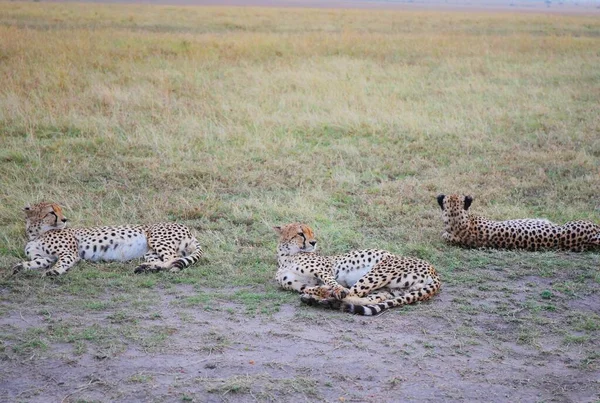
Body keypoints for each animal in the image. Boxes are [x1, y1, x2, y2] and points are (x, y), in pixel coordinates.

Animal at [11, 202, 204, 278]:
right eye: (52, 212)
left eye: (59, 210)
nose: (65, 219)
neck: (37, 234)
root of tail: (189, 230)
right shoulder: (43, 257)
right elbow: (34, 263)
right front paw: (19, 267)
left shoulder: (69, 253)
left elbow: (61, 262)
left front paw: (54, 271)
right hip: (151, 252)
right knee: (166, 260)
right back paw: (147, 268)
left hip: (156, 238)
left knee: (173, 259)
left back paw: (148, 268)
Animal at [274, 224, 440, 316]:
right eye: (300, 233)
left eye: (311, 233)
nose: (314, 242)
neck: (286, 256)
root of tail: (434, 269)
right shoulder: (300, 283)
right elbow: (310, 287)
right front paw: (322, 291)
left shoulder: (326, 270)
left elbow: (333, 284)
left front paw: (331, 290)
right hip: (391, 289)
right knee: (368, 298)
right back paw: (320, 299)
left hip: (378, 270)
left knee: (351, 292)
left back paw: (320, 299)